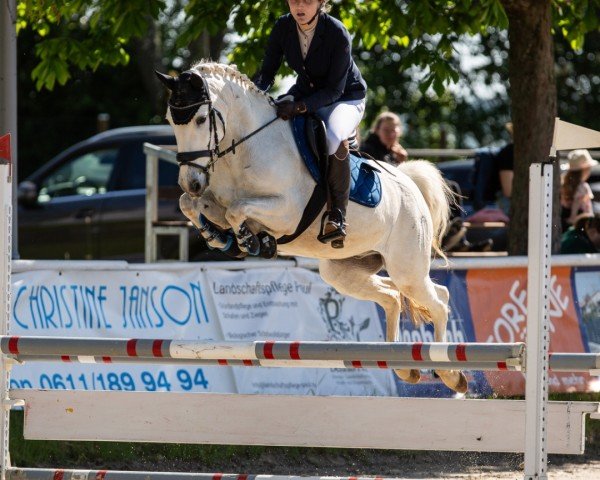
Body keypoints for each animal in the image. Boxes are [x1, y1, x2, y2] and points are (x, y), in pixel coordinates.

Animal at [157, 62, 466, 394]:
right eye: (171, 122)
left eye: (201, 119)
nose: (191, 181)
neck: (246, 150)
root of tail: (409, 184)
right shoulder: (216, 203)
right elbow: (191, 205)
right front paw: (220, 238)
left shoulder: (286, 213)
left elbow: (238, 211)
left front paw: (252, 242)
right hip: (342, 271)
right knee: (392, 297)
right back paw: (403, 367)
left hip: (407, 268)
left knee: (438, 299)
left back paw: (450, 374)